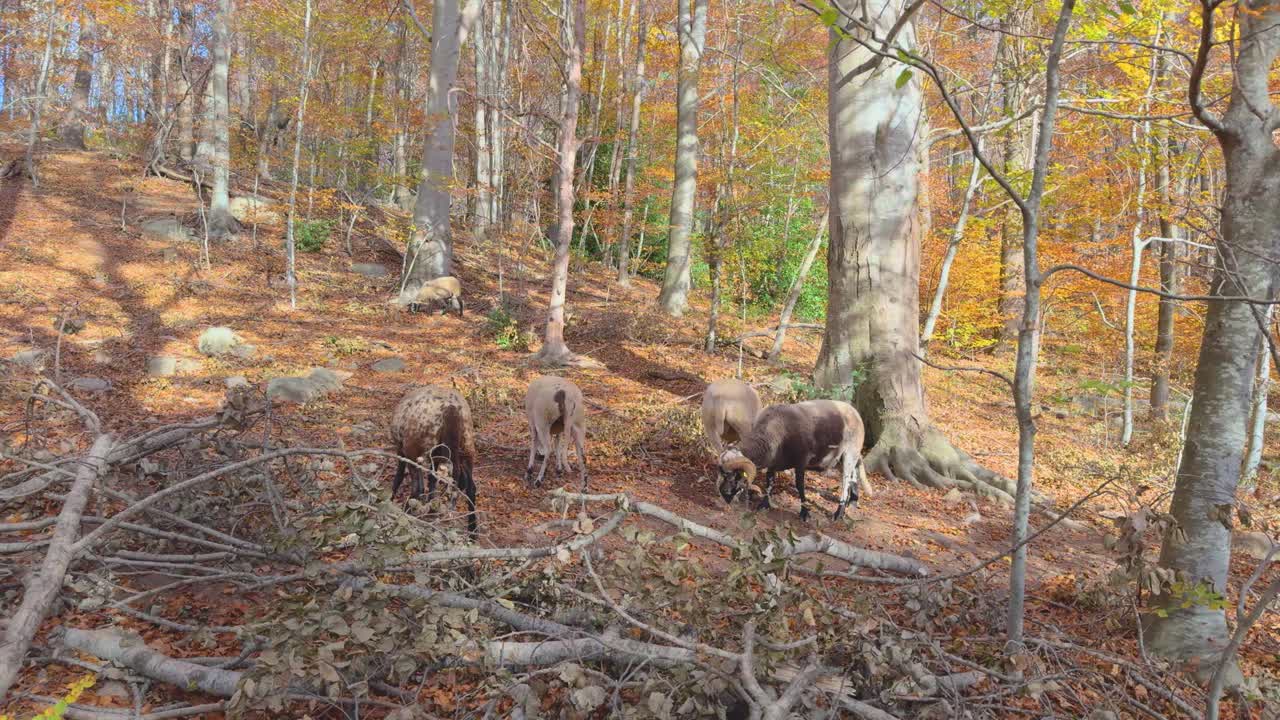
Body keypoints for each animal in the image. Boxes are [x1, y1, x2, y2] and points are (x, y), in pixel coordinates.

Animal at [390, 384, 478, 533]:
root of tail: (451, 408)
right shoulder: (435, 457)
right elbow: (432, 482)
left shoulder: (403, 450)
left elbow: (399, 478)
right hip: (467, 447)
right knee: (471, 487)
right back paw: (473, 530)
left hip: (416, 450)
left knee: (418, 487)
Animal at [716, 399, 872, 521]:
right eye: (721, 473)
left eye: (734, 475)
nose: (724, 495)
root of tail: (855, 412)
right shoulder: (774, 462)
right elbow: (769, 482)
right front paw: (764, 505)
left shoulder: (801, 462)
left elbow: (800, 486)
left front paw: (804, 513)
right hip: (841, 458)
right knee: (853, 476)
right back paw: (852, 503)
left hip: (850, 453)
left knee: (846, 481)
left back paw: (838, 513)